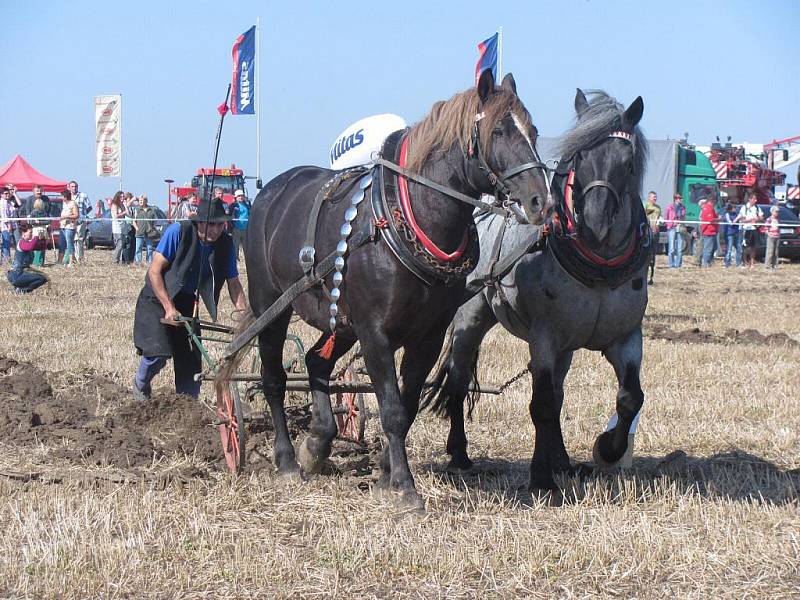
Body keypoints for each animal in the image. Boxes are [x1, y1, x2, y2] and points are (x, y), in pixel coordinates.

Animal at [424, 89, 648, 492]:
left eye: (627, 163)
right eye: (579, 156)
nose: (595, 222)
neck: (600, 267)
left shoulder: (625, 338)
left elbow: (628, 398)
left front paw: (608, 449)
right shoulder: (544, 336)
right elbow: (540, 404)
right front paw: (541, 476)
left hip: (568, 346)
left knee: (558, 394)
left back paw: (562, 461)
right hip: (471, 317)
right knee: (459, 381)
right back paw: (460, 454)